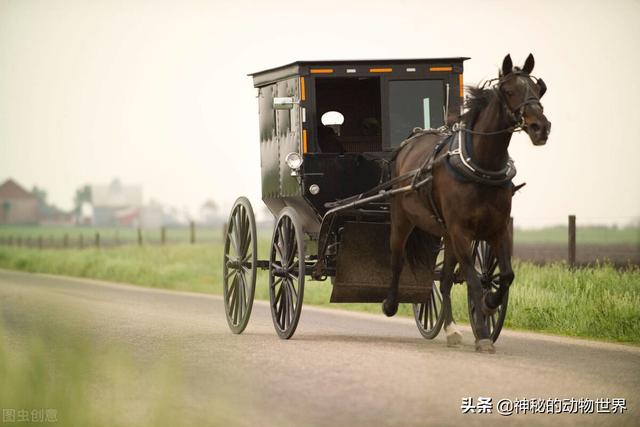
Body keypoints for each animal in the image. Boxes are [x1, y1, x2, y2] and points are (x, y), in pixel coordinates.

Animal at [382, 54, 552, 354]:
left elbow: (505, 275)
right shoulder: (461, 231)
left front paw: (490, 303)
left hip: (447, 234)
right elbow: (473, 281)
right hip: (403, 219)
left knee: (445, 280)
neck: (481, 167)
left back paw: (451, 330)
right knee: (397, 259)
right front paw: (483, 334)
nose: (540, 128)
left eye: (537, 88)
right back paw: (390, 303)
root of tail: (409, 141)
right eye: (509, 91)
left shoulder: (497, 229)